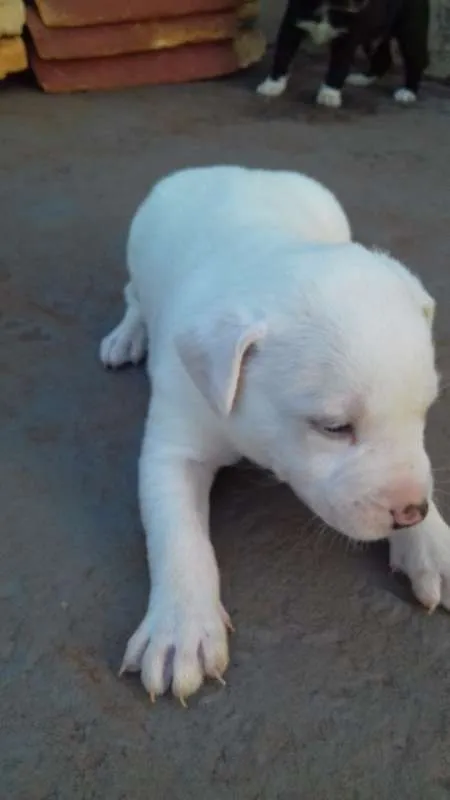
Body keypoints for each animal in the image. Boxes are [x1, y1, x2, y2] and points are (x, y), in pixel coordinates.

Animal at [100, 166, 450, 704]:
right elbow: (178, 537)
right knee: (133, 297)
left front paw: (434, 543)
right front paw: (181, 629)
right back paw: (128, 336)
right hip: (138, 259)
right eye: (333, 428)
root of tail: (229, 168)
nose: (410, 512)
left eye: (424, 411)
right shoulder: (172, 450)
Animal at [256, 0, 428, 108]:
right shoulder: (291, 27)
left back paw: (408, 92)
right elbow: (282, 55)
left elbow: (338, 66)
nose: (364, 3)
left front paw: (329, 94)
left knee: (415, 60)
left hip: (411, 29)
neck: (328, 4)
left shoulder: (348, 37)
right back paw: (363, 79)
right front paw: (273, 84)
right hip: (374, 32)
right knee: (383, 58)